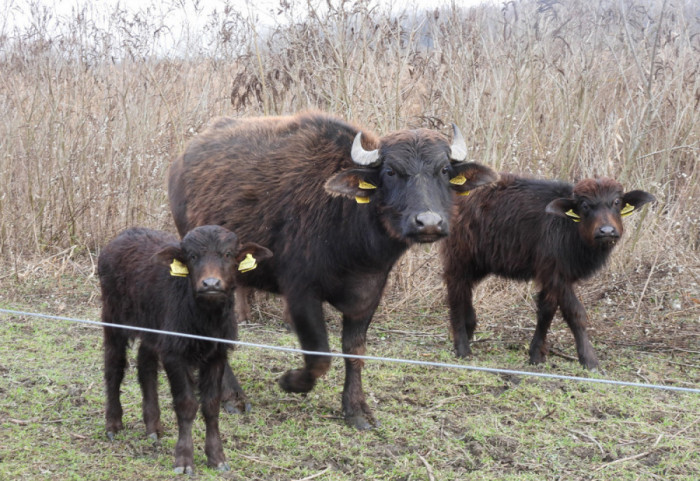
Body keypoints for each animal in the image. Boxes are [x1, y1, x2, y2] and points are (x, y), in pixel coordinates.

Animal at [98, 225, 270, 472]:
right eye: (192, 256)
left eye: (228, 254)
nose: (211, 284)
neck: (205, 320)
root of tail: (126, 234)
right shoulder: (175, 355)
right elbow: (187, 404)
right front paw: (184, 460)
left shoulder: (217, 355)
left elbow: (211, 405)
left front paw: (217, 457)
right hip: (114, 319)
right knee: (114, 367)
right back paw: (113, 424)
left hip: (151, 328)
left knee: (145, 367)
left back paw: (153, 427)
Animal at [168, 111, 498, 428]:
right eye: (391, 171)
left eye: (443, 170)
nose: (428, 223)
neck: (350, 230)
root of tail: (181, 161)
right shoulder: (300, 294)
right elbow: (319, 356)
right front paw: (291, 381)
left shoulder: (370, 293)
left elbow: (354, 350)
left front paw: (356, 409)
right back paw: (232, 397)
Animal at [442, 174, 656, 370]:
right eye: (585, 205)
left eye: (617, 202)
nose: (607, 231)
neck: (570, 228)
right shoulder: (558, 276)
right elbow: (575, 313)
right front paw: (589, 360)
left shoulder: (549, 276)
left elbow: (546, 312)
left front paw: (536, 355)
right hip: (459, 256)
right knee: (455, 292)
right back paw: (462, 347)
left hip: (480, 262)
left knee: (465, 289)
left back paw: (469, 327)